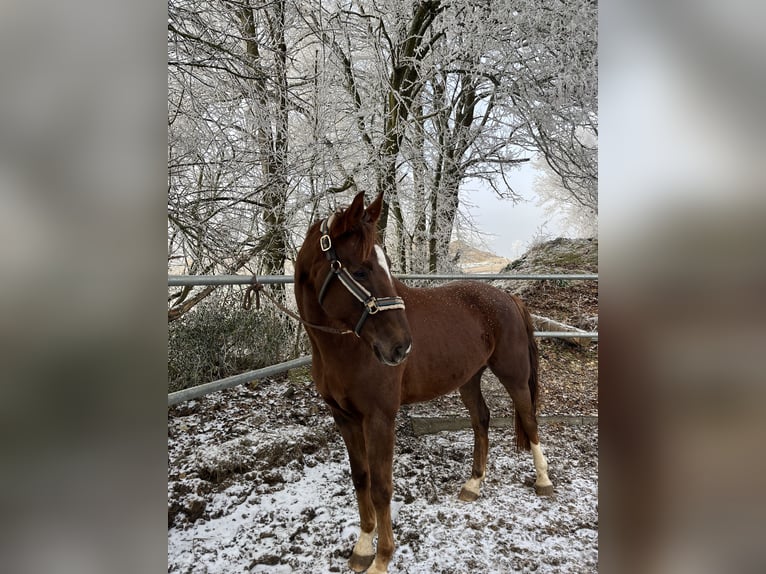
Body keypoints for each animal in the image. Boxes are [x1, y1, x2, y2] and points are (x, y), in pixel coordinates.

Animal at [294, 191, 552, 572]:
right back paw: (473, 485)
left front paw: (382, 558)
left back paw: (544, 481)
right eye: (360, 270)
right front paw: (363, 547)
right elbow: (361, 479)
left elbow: (381, 487)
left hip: (514, 375)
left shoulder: (380, 419)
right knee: (482, 420)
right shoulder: (344, 419)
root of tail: (507, 297)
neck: (345, 348)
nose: (401, 346)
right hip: (469, 379)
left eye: (384, 266)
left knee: (530, 421)